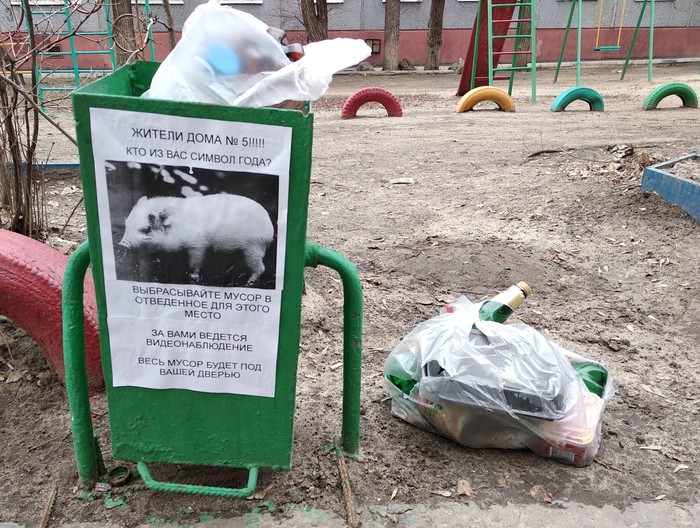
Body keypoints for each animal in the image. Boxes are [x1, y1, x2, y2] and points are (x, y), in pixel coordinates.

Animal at [119, 193, 274, 284]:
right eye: (126, 224)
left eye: (145, 229)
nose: (122, 244)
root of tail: (270, 229)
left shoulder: (197, 245)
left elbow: (195, 262)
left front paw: (193, 279)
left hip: (254, 247)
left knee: (260, 268)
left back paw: (248, 283)